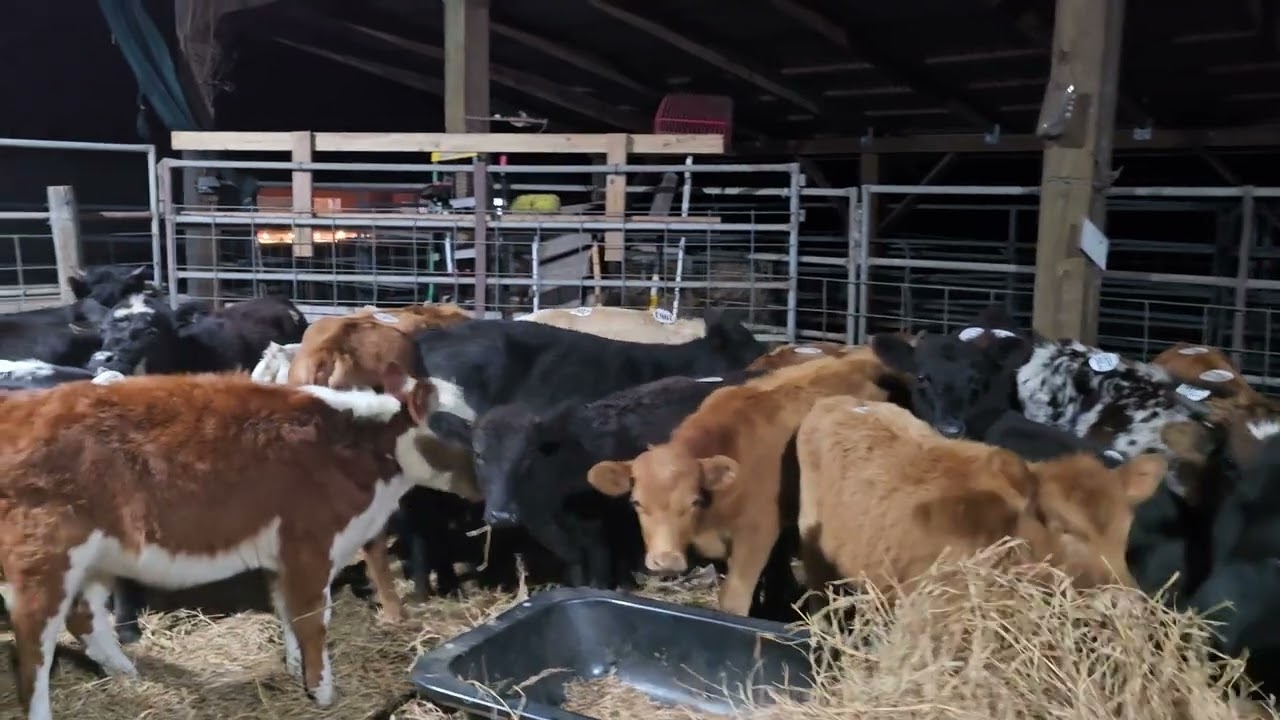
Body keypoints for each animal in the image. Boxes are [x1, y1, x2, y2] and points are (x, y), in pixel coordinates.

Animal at [0, 362, 436, 718]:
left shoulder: (284, 557)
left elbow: (288, 614)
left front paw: (296, 670)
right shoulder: (309, 544)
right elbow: (312, 621)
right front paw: (323, 693)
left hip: (99, 556)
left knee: (83, 615)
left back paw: (126, 672)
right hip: (44, 558)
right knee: (33, 647)